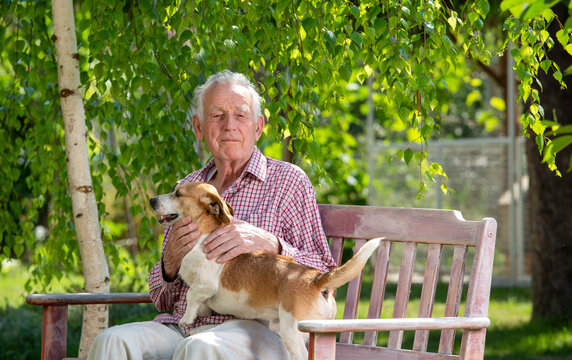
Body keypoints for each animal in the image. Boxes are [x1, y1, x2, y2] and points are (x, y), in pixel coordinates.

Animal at [150, 183, 382, 360]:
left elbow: (191, 297)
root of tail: (316, 278)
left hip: (292, 331)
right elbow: (199, 302)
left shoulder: (205, 284)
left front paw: (186, 319)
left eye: (178, 193)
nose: (152, 200)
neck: (203, 235)